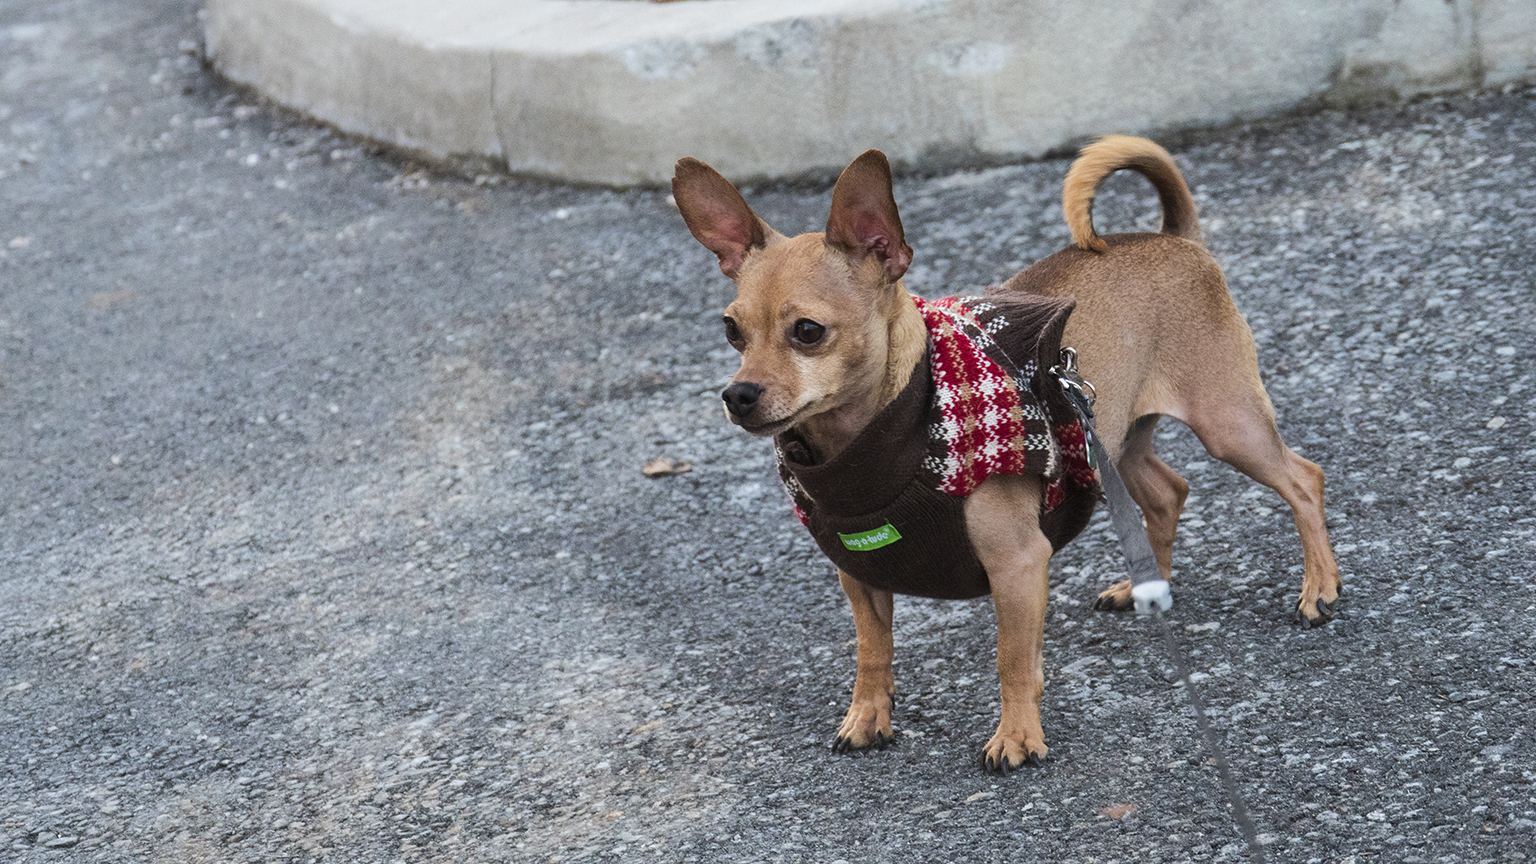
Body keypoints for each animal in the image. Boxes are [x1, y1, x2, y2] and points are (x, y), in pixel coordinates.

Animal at [671, 136, 1340, 773]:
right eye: (731, 331)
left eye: (808, 332)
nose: (738, 394)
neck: (889, 439)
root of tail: (1175, 238)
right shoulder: (860, 578)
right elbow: (872, 654)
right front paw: (866, 718)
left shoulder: (1017, 566)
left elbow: (1012, 660)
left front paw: (1017, 738)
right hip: (1112, 442)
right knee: (1167, 493)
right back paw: (1146, 585)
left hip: (1227, 425)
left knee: (1303, 478)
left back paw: (1319, 590)